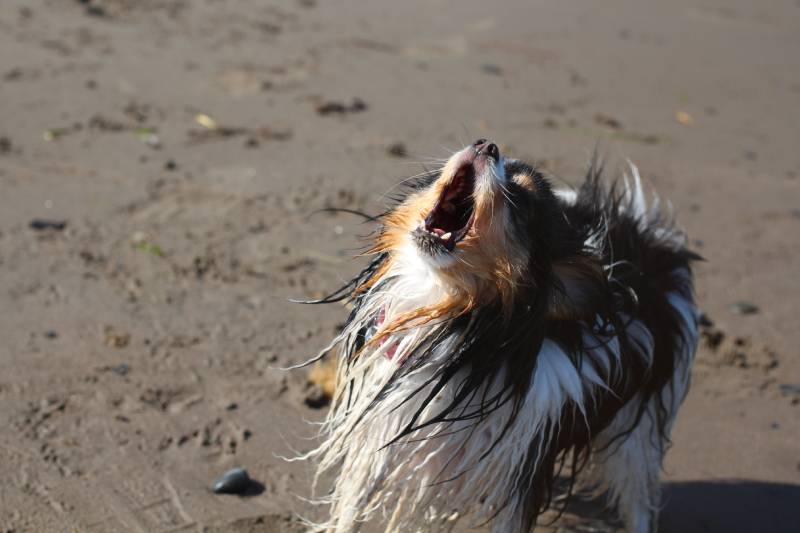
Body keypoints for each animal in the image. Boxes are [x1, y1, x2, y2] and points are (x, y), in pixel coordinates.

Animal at [296, 139, 696, 528]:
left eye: (520, 199)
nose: (487, 145)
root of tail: (645, 238)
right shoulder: (379, 431)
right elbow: (351, 509)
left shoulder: (517, 475)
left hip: (638, 430)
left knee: (637, 495)